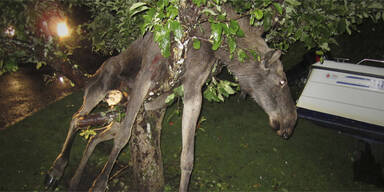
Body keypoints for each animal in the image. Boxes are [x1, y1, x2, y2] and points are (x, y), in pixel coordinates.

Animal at [44, 4, 296, 192]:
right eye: (282, 82)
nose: (290, 124)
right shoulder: (147, 75)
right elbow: (123, 138)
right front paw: (99, 183)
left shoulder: (193, 90)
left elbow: (188, 158)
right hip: (101, 86)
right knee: (77, 118)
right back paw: (56, 169)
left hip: (126, 111)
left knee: (95, 136)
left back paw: (74, 179)